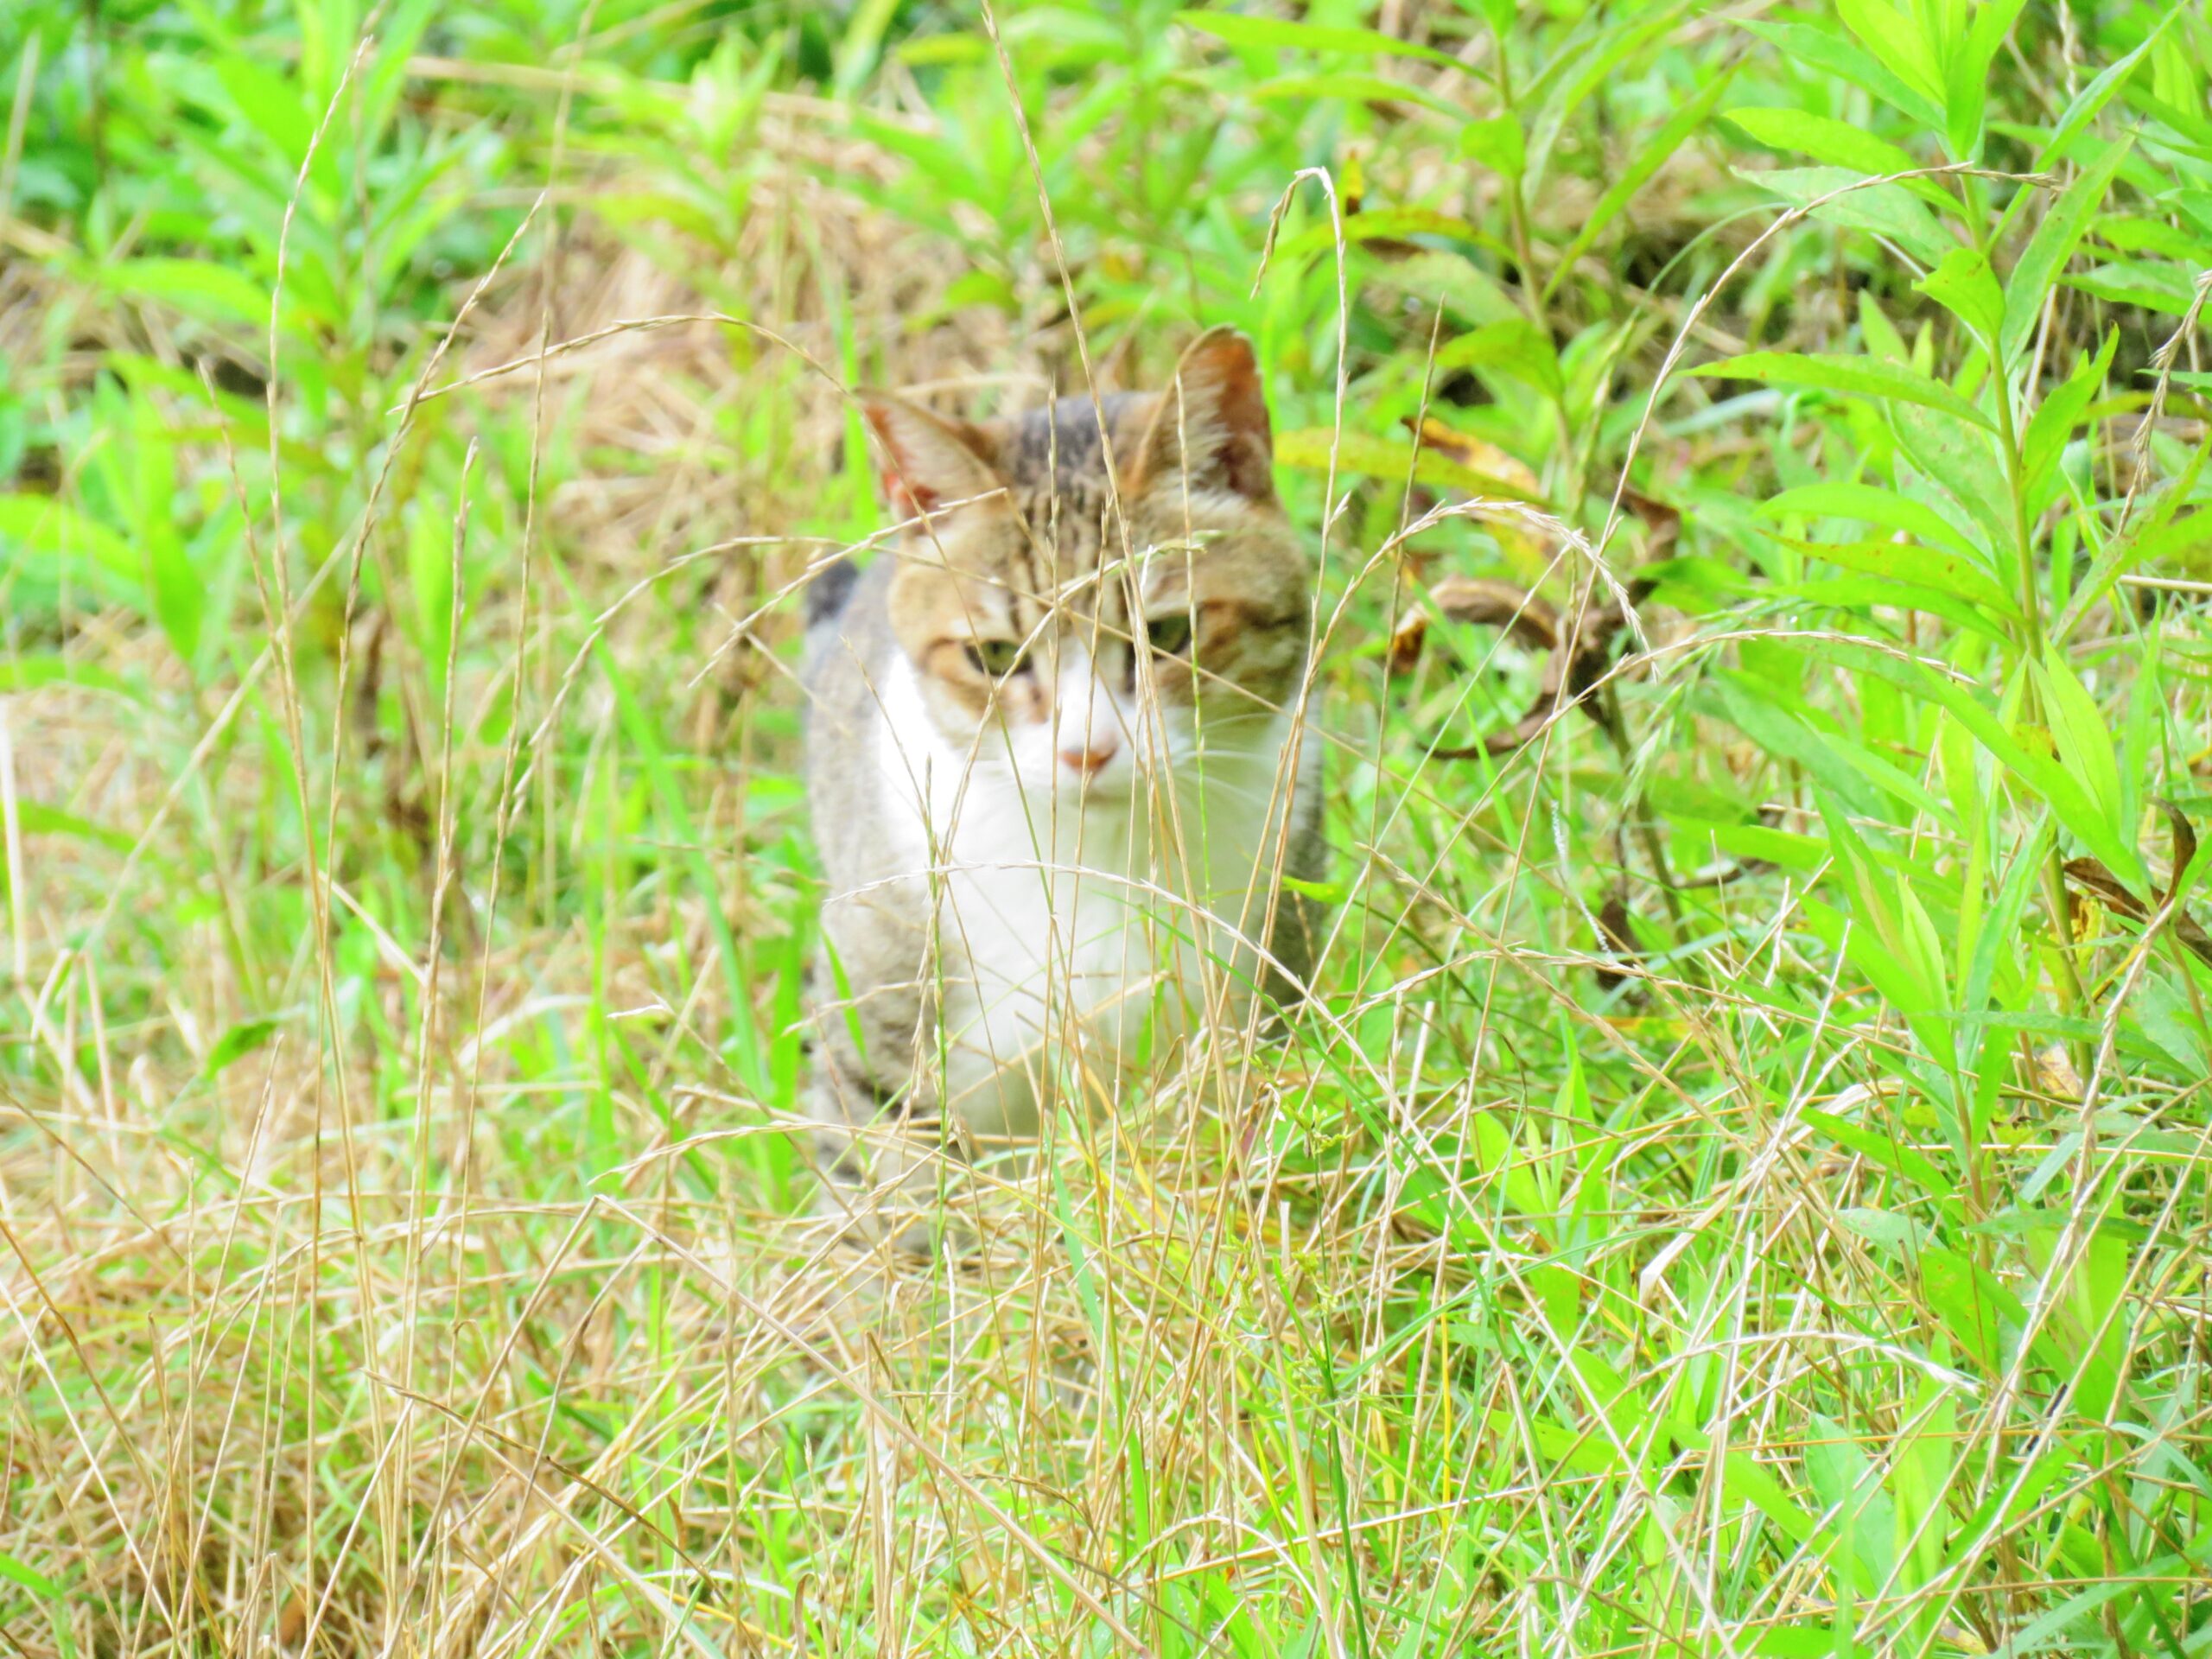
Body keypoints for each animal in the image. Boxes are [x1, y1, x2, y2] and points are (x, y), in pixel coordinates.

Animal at [804, 332, 1318, 1247]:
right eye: (995, 657)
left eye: (1168, 635)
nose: (1088, 751)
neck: (1094, 861)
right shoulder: (877, 1038)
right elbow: (885, 1210)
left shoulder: (1254, 995)